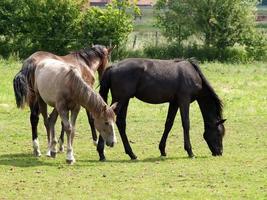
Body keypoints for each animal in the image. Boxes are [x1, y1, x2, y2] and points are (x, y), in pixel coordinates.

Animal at [96, 57, 226, 161]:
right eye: (219, 133)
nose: (219, 152)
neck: (193, 74)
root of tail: (112, 67)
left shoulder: (174, 102)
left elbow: (168, 124)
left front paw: (162, 150)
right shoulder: (184, 100)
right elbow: (186, 124)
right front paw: (190, 151)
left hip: (125, 100)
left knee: (120, 123)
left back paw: (129, 154)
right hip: (122, 99)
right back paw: (104, 153)